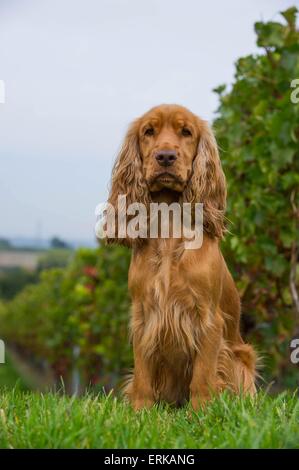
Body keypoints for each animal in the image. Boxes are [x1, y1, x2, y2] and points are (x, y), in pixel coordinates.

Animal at [104, 104, 256, 410]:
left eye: (186, 132)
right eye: (148, 131)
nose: (165, 156)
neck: (169, 225)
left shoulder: (207, 318)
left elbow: (203, 374)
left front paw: (200, 412)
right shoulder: (144, 316)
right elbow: (143, 374)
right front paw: (140, 411)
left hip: (241, 359)